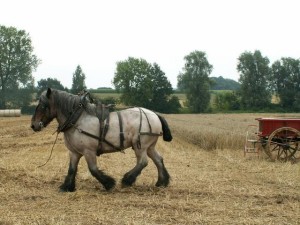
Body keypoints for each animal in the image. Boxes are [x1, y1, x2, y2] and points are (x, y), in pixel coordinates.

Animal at [30, 88, 172, 192]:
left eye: (43, 105)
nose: (33, 125)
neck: (77, 118)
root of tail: (154, 114)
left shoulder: (89, 151)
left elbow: (93, 169)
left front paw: (109, 183)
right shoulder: (74, 152)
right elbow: (71, 169)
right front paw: (67, 187)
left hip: (140, 146)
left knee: (143, 162)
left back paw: (127, 180)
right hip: (150, 146)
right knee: (158, 160)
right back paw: (161, 182)